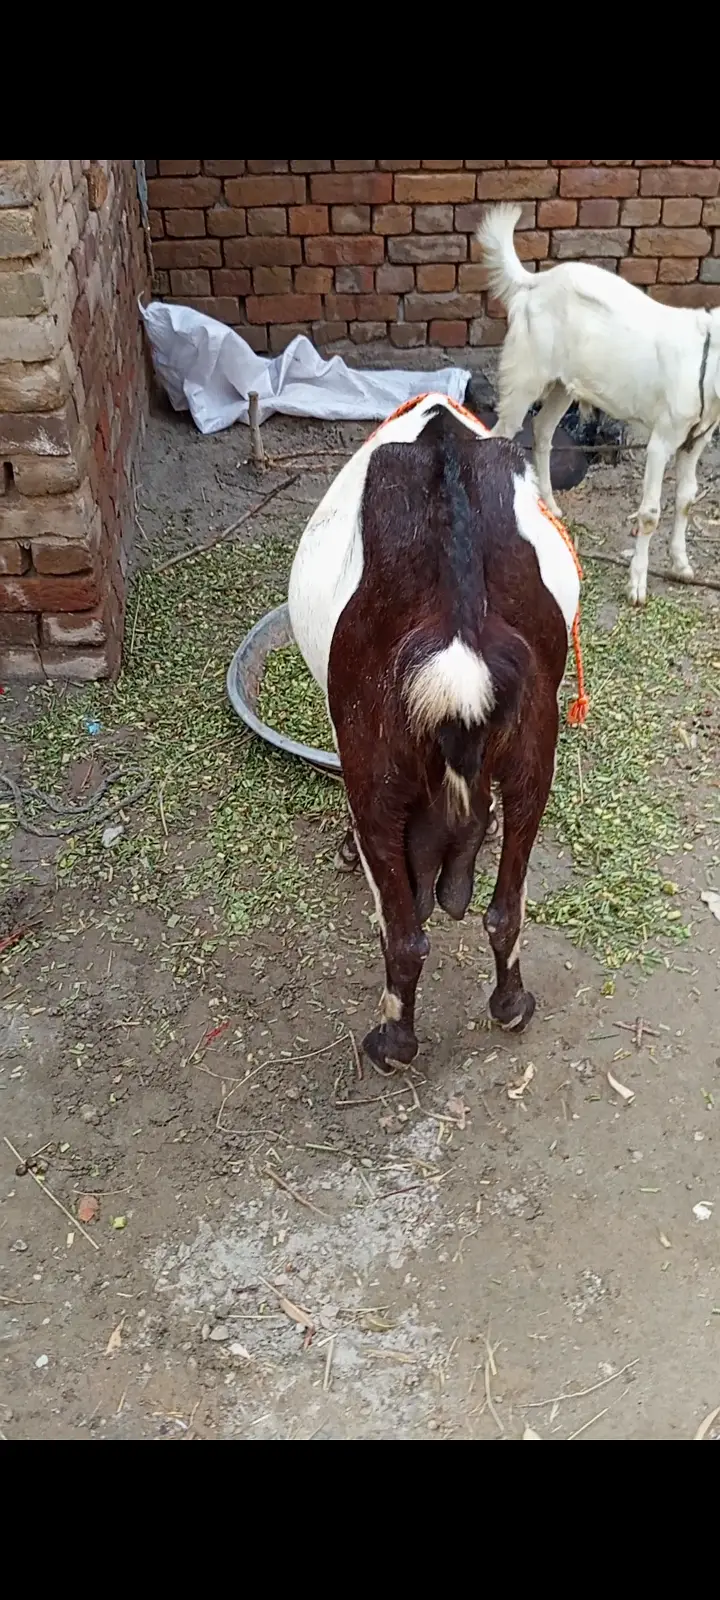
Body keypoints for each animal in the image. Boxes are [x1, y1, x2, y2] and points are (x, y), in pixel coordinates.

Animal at [288, 393, 581, 1070]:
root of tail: (458, 636)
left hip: (373, 766)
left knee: (405, 935)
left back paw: (392, 1043)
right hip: (535, 755)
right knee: (505, 911)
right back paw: (512, 1006)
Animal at [479, 203, 720, 605]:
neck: (707, 361)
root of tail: (536, 282)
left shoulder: (697, 439)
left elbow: (686, 498)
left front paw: (681, 566)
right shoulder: (662, 439)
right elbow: (650, 512)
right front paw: (636, 587)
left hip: (562, 385)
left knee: (543, 430)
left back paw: (552, 507)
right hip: (525, 373)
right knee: (498, 433)